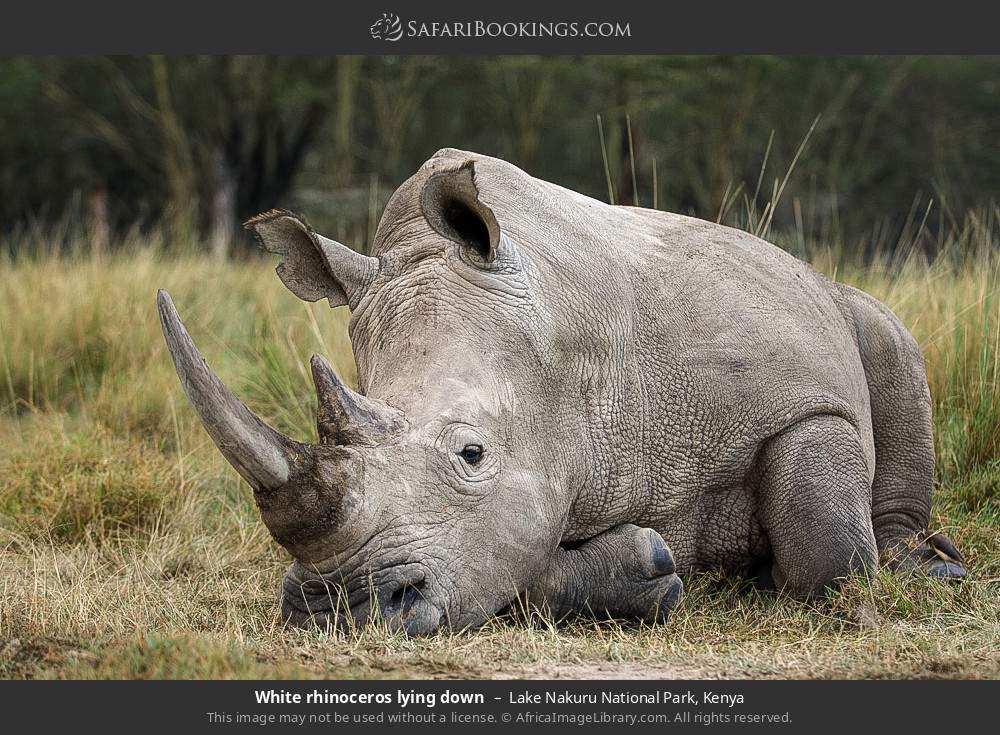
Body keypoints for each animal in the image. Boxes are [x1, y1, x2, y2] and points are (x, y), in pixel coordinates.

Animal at [157, 148, 966, 635]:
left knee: (889, 338)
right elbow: (514, 558)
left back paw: (930, 564)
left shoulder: (798, 394)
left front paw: (770, 570)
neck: (566, 348)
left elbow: (827, 558)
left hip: (836, 301)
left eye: (471, 454)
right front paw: (647, 571)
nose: (338, 608)